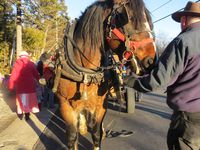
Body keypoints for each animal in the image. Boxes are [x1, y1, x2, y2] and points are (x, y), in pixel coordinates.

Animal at [43, 0, 156, 150]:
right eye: (127, 17)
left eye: (149, 21)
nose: (152, 60)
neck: (85, 72)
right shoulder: (65, 105)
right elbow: (72, 136)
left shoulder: (101, 105)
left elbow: (96, 134)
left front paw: (98, 133)